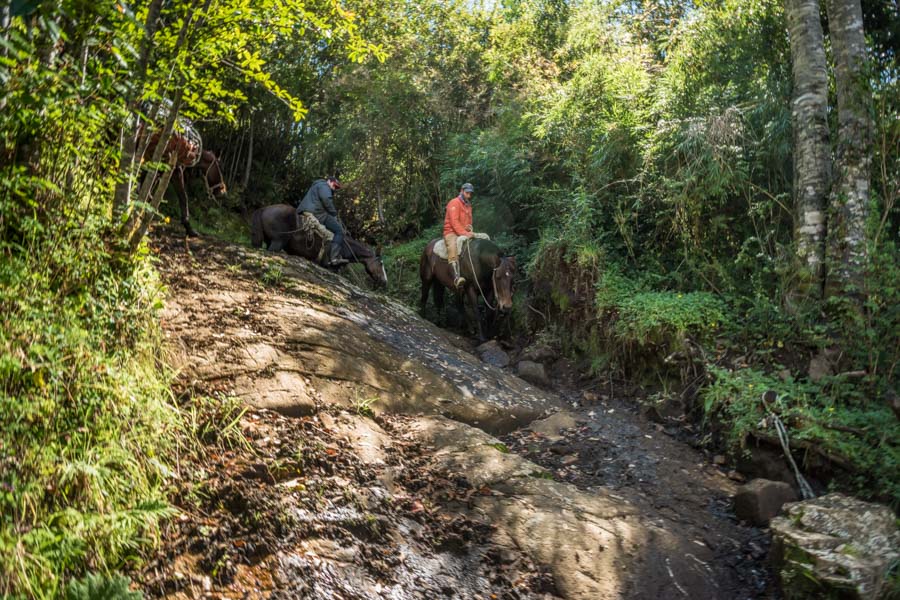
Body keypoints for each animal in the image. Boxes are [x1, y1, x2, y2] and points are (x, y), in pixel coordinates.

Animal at [250, 203, 386, 288]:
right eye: (381, 264)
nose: (385, 281)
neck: (345, 246)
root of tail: (264, 209)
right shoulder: (330, 267)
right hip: (277, 242)